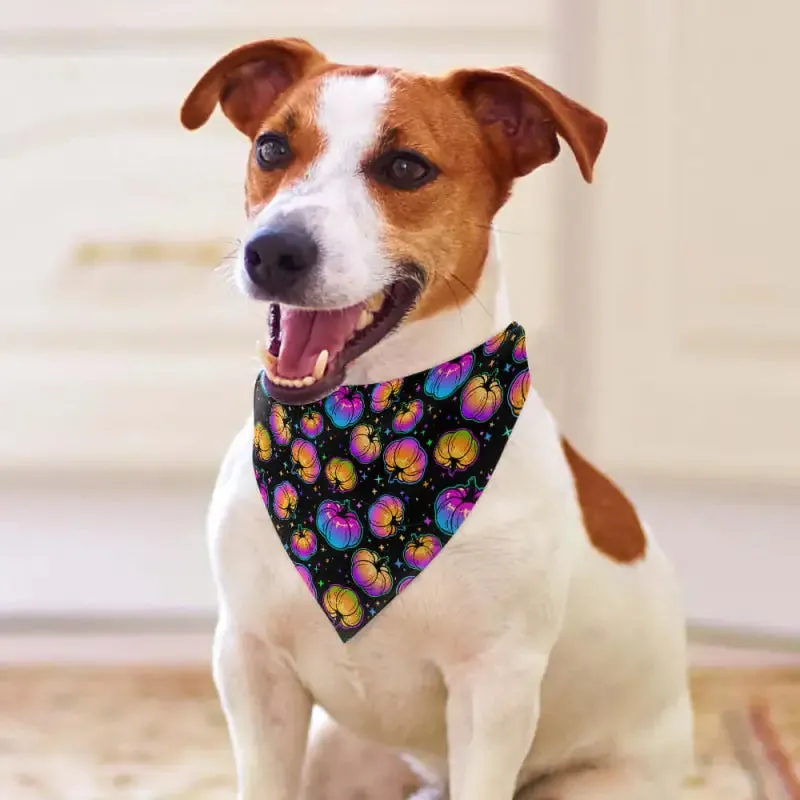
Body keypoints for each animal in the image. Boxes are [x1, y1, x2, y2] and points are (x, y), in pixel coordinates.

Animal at [181, 37, 692, 800]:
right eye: (272, 147)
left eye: (405, 167)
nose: (273, 249)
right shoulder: (250, 662)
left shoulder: (494, 691)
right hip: (338, 754)